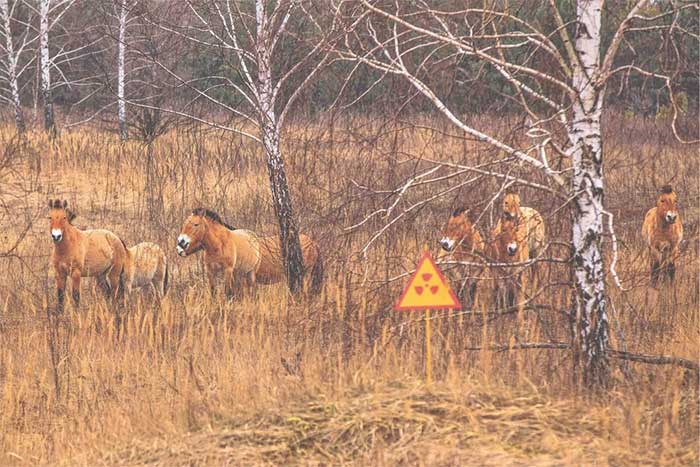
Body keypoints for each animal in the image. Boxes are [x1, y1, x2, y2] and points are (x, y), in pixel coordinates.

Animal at [178, 209, 326, 298]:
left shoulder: (229, 271)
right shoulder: (211, 271)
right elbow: (215, 292)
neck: (220, 244)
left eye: (196, 224)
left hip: (304, 275)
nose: (180, 243)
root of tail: (313, 243)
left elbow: (229, 293)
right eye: (184, 224)